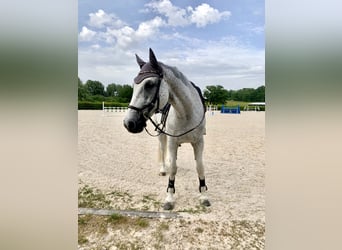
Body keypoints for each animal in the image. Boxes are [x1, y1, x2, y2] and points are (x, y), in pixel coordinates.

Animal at [123, 47, 208, 210]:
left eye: (149, 84)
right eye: (134, 86)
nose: (129, 123)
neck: (186, 113)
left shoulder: (199, 142)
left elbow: (200, 166)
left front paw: (203, 195)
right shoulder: (172, 142)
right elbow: (173, 168)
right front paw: (169, 198)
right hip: (162, 135)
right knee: (163, 150)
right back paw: (163, 168)